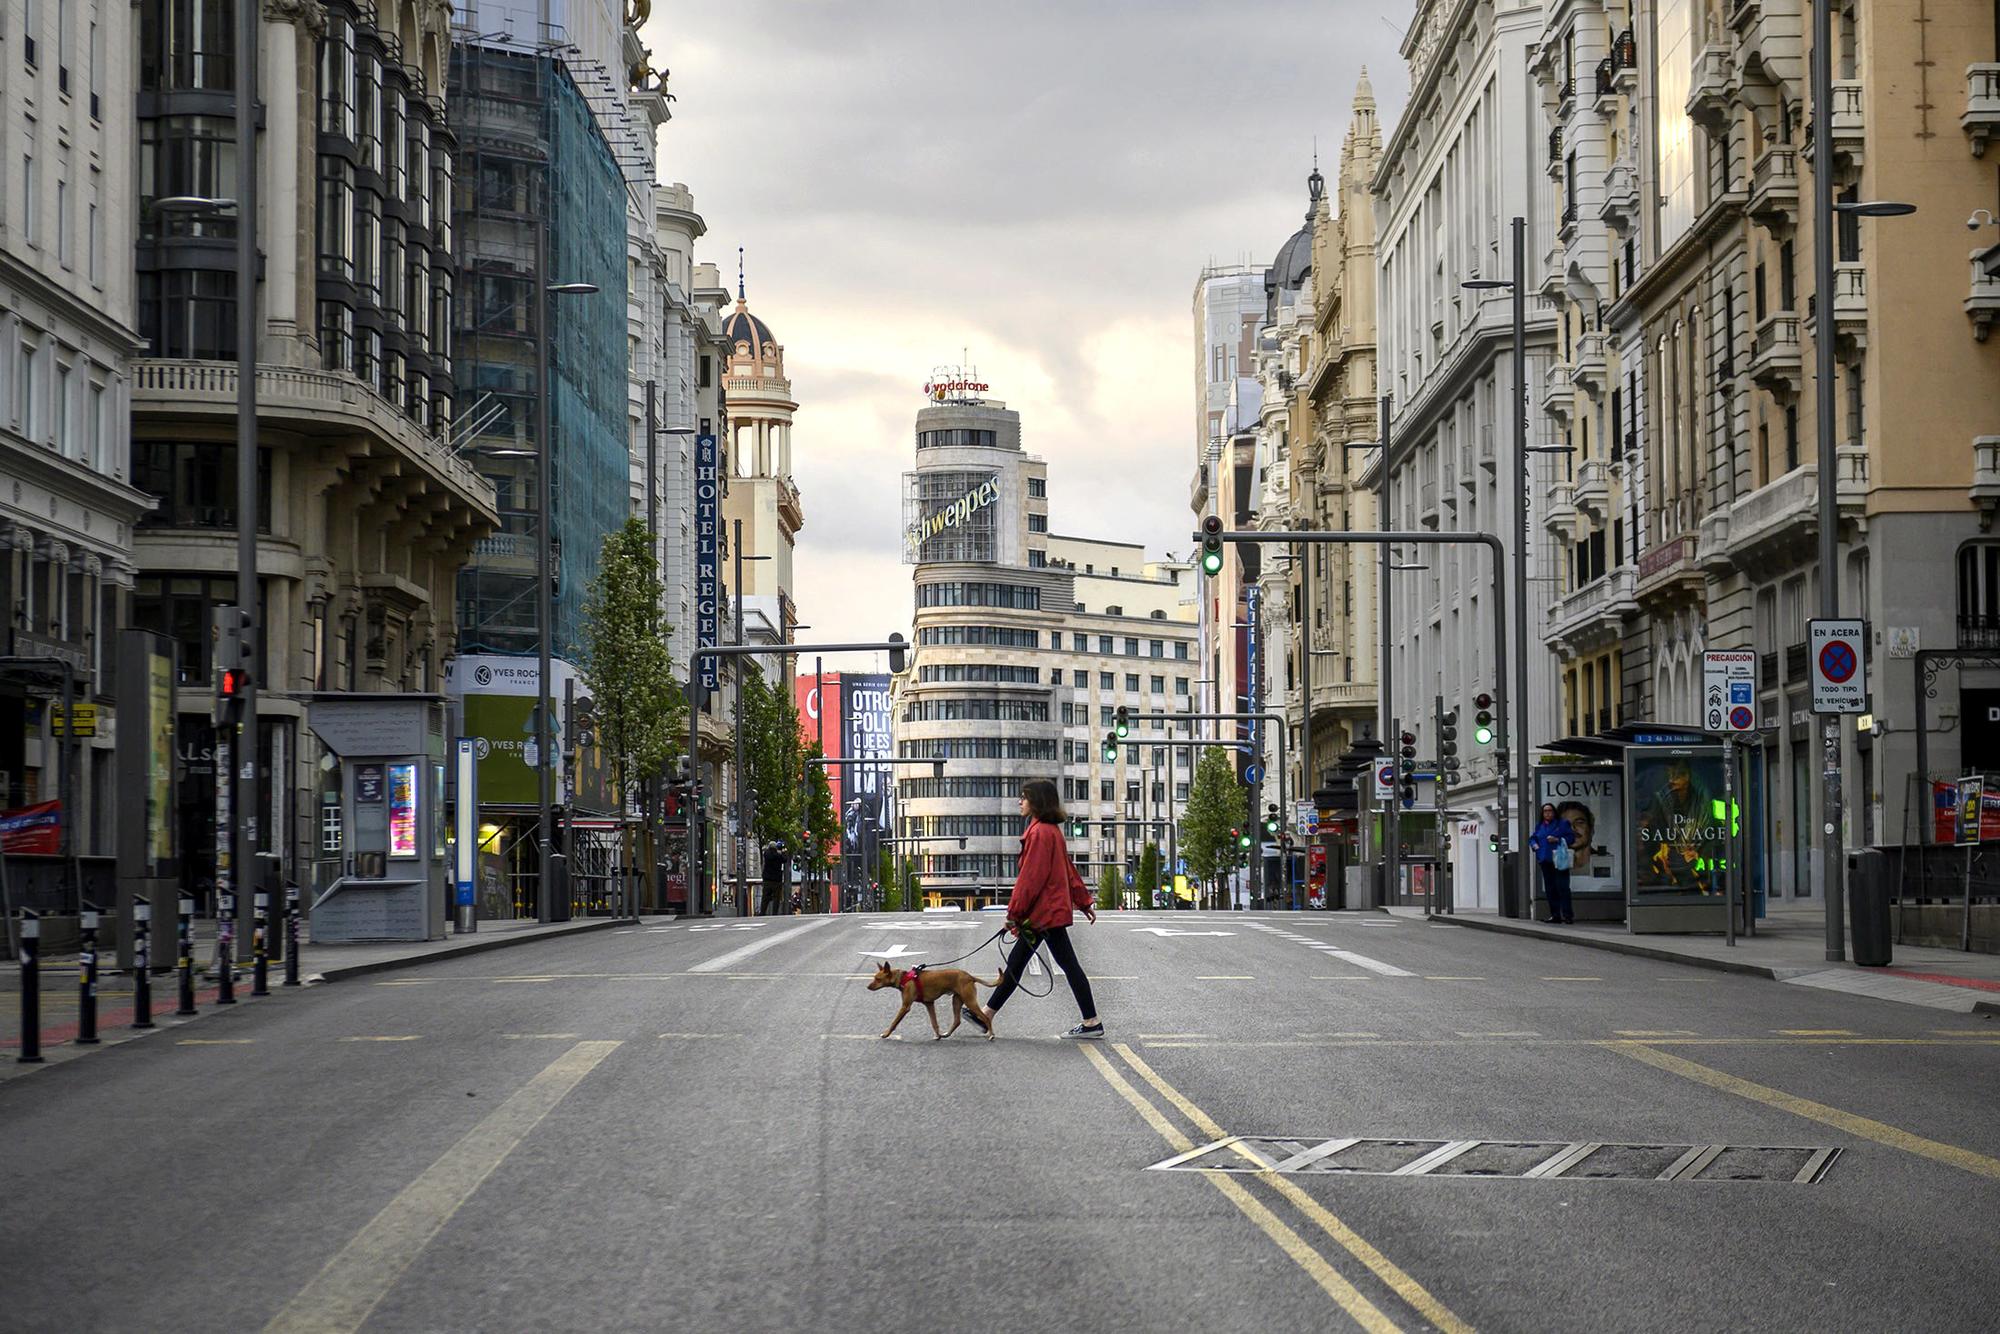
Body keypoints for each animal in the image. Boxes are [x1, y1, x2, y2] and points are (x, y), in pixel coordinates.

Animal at [872, 964, 1000, 1040]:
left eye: (878, 979)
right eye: (874, 977)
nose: (868, 986)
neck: (904, 978)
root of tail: (970, 976)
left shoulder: (905, 1007)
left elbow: (894, 1022)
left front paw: (886, 1034)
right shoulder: (929, 1004)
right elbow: (934, 1022)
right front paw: (937, 1035)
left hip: (969, 1001)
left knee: (986, 1018)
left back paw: (991, 1035)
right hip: (956, 1001)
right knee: (957, 1021)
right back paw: (947, 1034)